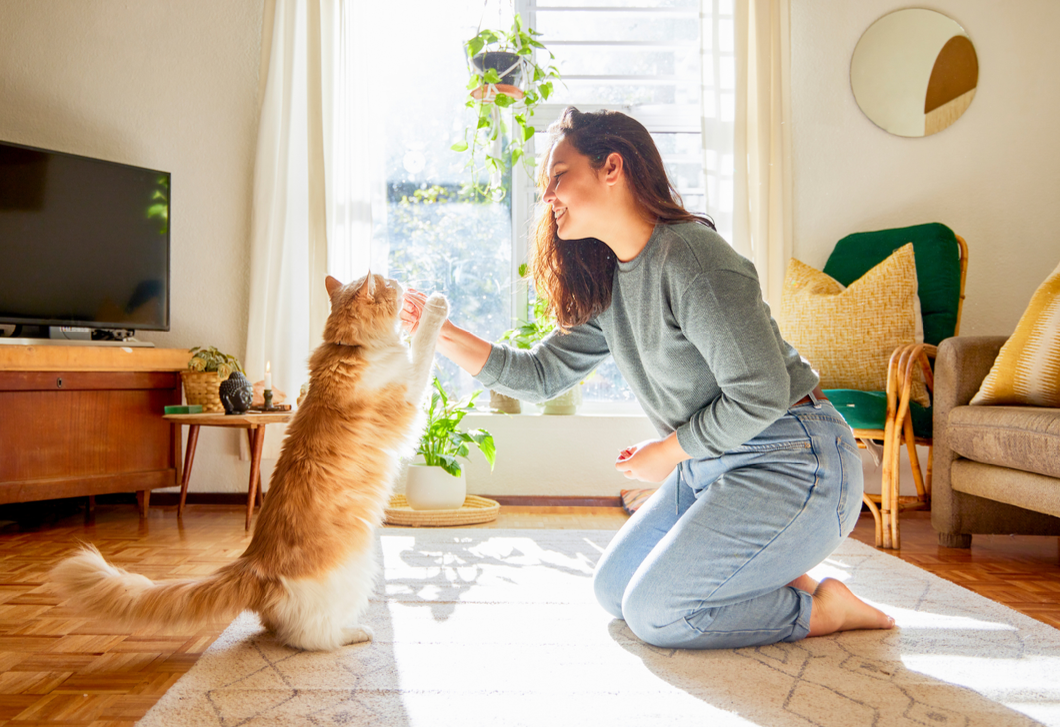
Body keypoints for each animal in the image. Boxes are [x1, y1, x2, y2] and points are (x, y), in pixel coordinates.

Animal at [51, 273, 449, 657]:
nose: (404, 283)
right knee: (308, 638)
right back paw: (355, 633)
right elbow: (424, 347)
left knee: (277, 627)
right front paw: (435, 306)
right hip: (359, 571)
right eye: (390, 283)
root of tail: (255, 564)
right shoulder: (410, 393)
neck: (347, 347)